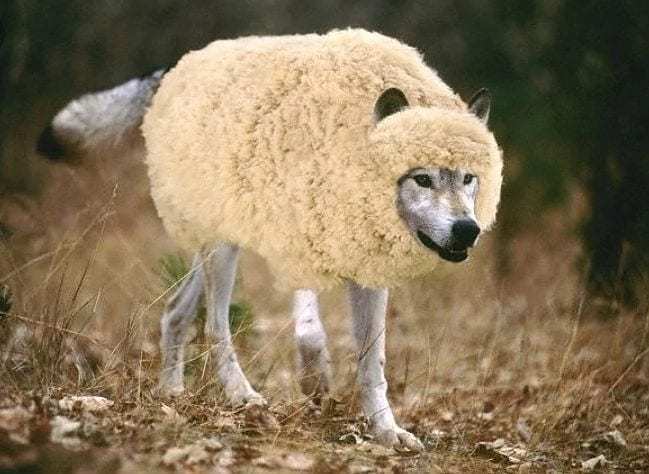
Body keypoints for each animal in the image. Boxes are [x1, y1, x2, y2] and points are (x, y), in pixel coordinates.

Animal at [39, 28, 502, 451]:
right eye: (422, 178)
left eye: (468, 178)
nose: (467, 229)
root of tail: (180, 65)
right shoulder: (295, 241)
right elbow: (310, 329)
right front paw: (314, 379)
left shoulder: (368, 270)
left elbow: (374, 365)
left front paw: (387, 432)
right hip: (223, 252)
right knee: (215, 325)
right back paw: (242, 396)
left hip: (212, 248)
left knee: (174, 312)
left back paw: (172, 394)